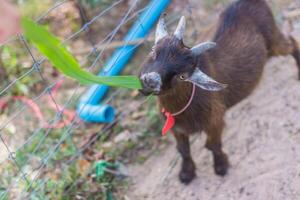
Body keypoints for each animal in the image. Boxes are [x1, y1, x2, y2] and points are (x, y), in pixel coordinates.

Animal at [138, 0, 300, 184]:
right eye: (153, 51)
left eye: (182, 76)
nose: (149, 81)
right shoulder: (176, 129)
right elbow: (183, 150)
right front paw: (186, 173)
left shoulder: (215, 120)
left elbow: (213, 145)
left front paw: (221, 166)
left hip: (273, 40)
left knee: (292, 42)